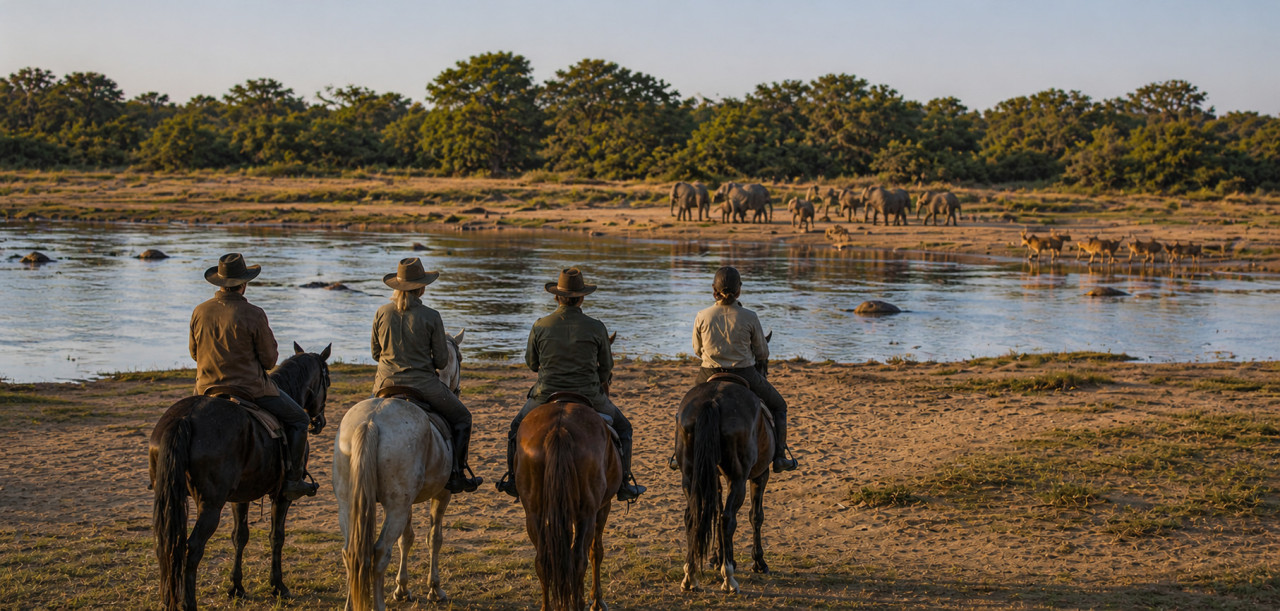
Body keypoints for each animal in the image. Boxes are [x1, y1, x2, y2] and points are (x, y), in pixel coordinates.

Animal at [150, 342, 332, 611]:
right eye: (327, 380)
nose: (319, 422)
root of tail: (185, 417)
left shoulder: (240, 497)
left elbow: (240, 537)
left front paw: (236, 587)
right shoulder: (282, 497)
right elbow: (277, 537)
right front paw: (278, 586)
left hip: (169, 499)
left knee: (168, 545)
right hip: (211, 505)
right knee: (193, 548)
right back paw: (189, 603)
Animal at [334, 330, 465, 611]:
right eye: (459, 358)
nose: (457, 389)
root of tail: (371, 422)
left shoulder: (408, 502)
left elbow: (408, 537)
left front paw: (402, 588)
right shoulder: (442, 494)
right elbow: (434, 538)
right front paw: (435, 589)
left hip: (350, 503)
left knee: (351, 552)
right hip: (395, 507)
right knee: (380, 552)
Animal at [515, 398, 622, 611]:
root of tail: (559, 430)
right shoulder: (602, 508)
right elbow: (596, 551)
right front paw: (597, 600)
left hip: (534, 513)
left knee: (543, 560)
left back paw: (547, 606)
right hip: (587, 513)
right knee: (579, 559)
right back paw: (579, 603)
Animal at [675, 377, 774, 594]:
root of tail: (712, 401)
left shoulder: (713, 478)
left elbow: (715, 510)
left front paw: (716, 558)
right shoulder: (760, 475)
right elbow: (756, 516)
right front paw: (758, 562)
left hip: (690, 476)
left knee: (693, 517)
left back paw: (690, 576)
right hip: (738, 479)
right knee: (727, 519)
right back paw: (729, 579)